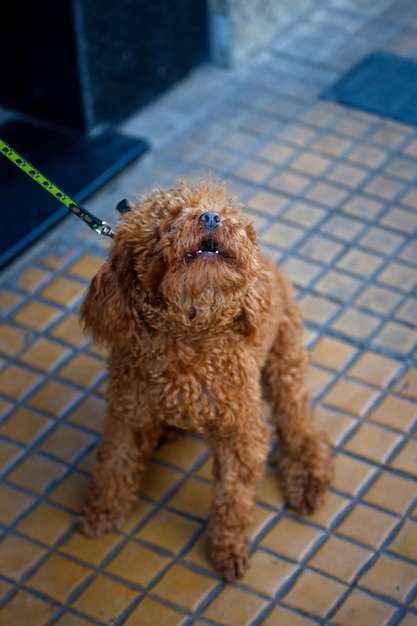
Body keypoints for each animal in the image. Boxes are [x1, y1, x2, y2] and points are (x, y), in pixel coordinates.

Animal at [77, 180, 332, 580]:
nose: (210, 217)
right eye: (167, 223)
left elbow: (233, 495)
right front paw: (102, 513)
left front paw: (227, 548)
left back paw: (307, 475)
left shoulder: (239, 430)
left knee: (298, 423)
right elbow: (113, 465)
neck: (188, 337)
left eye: (222, 213)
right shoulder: (128, 415)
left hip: (284, 359)